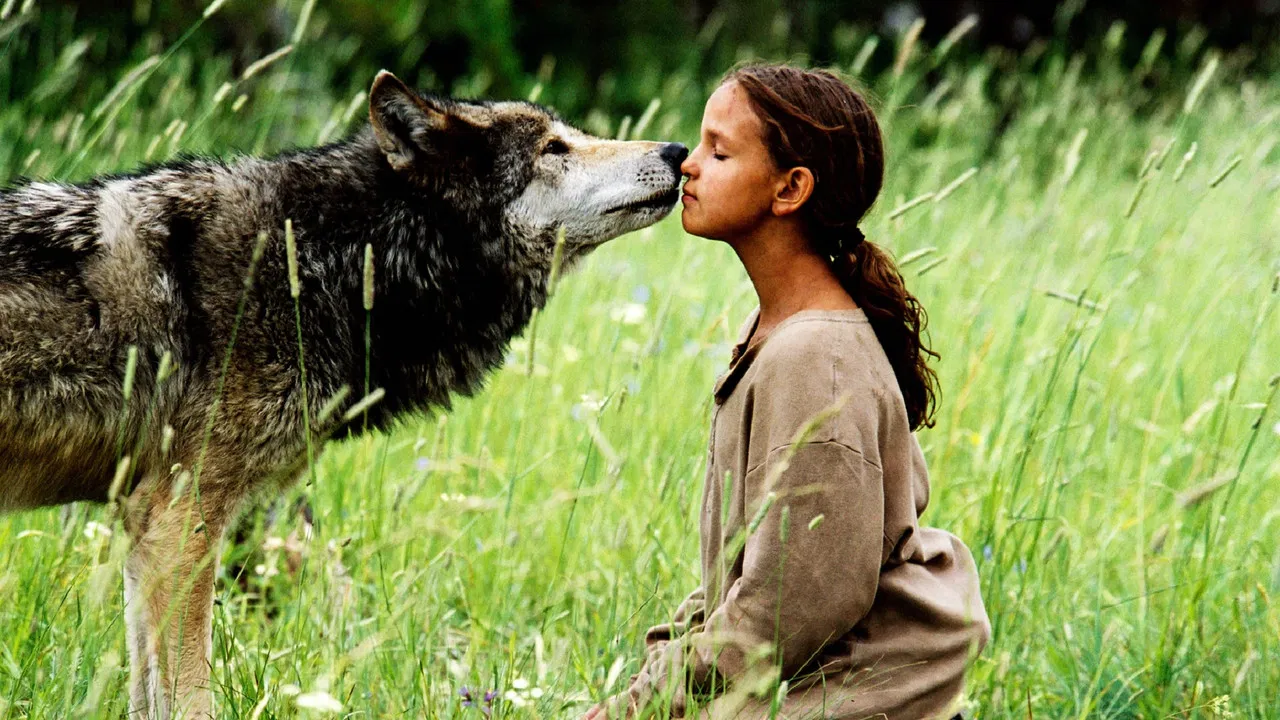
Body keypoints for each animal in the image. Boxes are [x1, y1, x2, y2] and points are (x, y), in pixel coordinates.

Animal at [0, 70, 687, 718]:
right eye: (554, 148)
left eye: (569, 137)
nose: (679, 149)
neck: (332, 257)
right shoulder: (181, 523)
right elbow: (192, 696)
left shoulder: (144, 527)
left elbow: (145, 695)